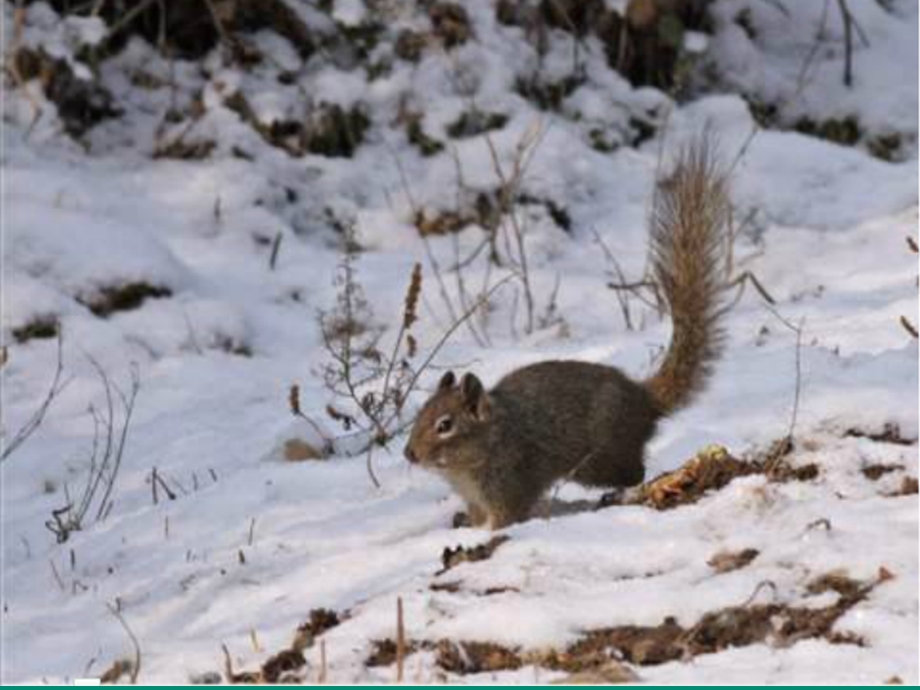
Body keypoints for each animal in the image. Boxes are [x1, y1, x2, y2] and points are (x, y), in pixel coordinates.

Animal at [406, 138, 728, 528]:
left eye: (445, 425)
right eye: (422, 411)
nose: (409, 454)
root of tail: (643, 399)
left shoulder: (509, 481)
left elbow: (507, 517)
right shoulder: (474, 497)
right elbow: (475, 516)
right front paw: (464, 524)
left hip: (600, 459)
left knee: (634, 472)